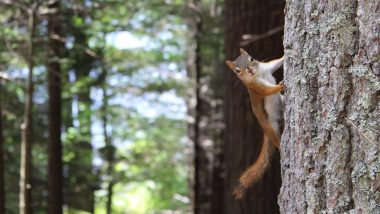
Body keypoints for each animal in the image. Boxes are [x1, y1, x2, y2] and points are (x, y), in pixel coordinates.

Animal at [224, 48, 284, 199]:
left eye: (251, 58)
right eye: (237, 71)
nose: (250, 70)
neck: (258, 73)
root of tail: (265, 131)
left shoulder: (267, 67)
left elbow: (276, 63)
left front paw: (285, 56)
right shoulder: (255, 86)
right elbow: (267, 90)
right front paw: (278, 87)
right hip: (271, 127)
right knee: (276, 140)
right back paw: (281, 145)